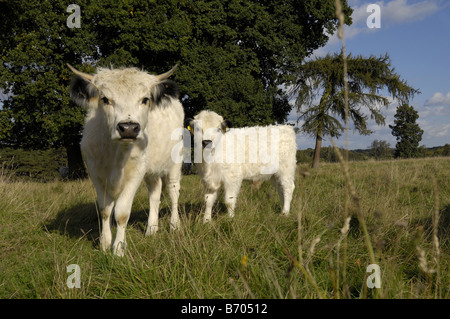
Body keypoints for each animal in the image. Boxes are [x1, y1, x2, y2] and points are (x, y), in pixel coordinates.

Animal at [67, 63, 184, 256]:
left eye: (145, 99)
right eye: (105, 99)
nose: (128, 128)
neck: (117, 155)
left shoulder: (136, 172)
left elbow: (121, 212)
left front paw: (118, 249)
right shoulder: (96, 172)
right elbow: (105, 209)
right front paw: (104, 243)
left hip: (175, 161)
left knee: (173, 192)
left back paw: (175, 225)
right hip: (151, 168)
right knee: (155, 193)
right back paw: (151, 229)